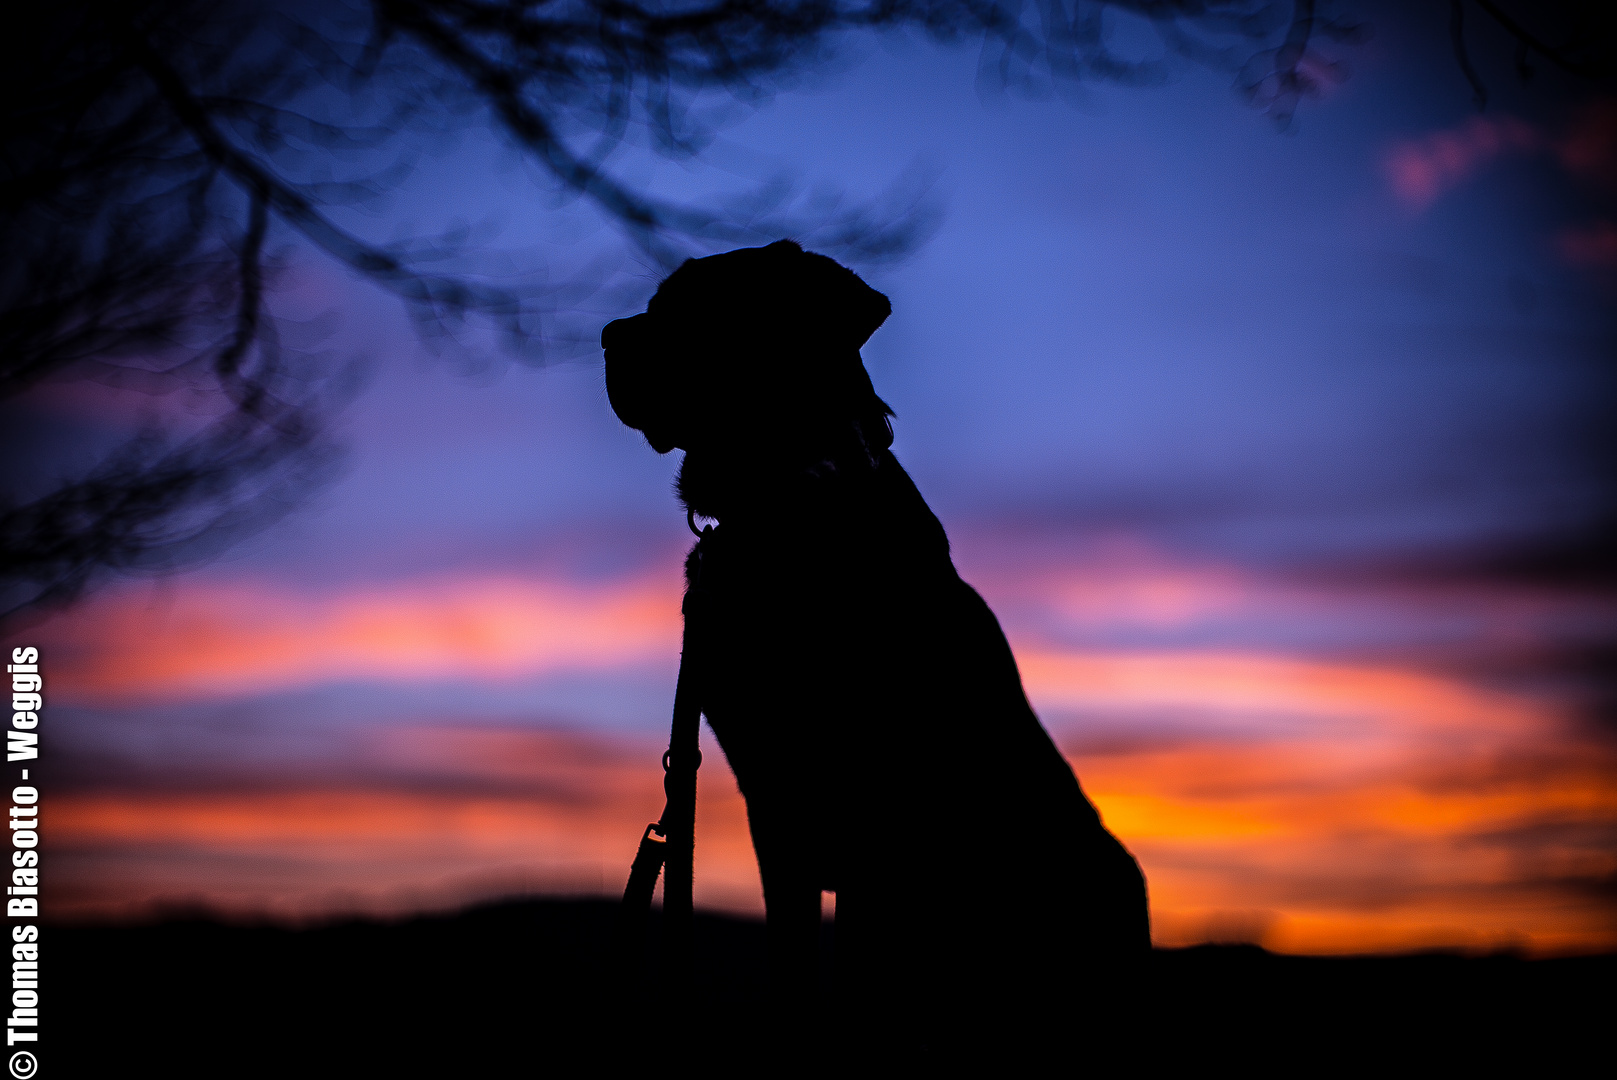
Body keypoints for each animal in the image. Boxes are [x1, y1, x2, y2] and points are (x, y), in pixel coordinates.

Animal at [607, 242, 1151, 1047]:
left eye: (700, 309)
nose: (609, 335)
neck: (791, 494)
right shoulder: (776, 805)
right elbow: (794, 960)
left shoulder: (874, 815)